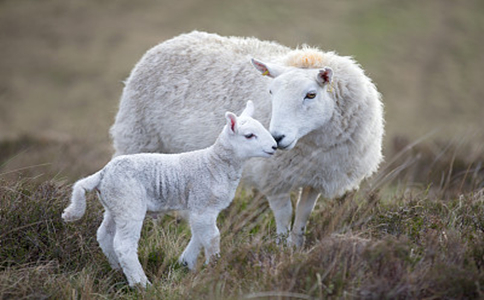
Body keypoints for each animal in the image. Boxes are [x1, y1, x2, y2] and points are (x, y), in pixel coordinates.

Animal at [62, 101, 278, 288]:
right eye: (249, 135)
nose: (275, 146)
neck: (215, 163)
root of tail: (103, 173)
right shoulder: (203, 203)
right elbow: (212, 237)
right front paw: (214, 268)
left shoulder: (202, 208)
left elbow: (199, 234)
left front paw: (186, 263)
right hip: (129, 202)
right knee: (124, 246)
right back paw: (141, 284)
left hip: (114, 204)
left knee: (104, 235)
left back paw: (116, 270)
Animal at [110, 30, 386, 247]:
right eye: (271, 91)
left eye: (311, 95)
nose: (277, 138)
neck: (314, 142)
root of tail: (174, 40)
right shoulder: (274, 177)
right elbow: (284, 217)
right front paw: (281, 250)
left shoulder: (316, 177)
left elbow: (303, 217)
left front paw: (296, 249)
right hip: (138, 138)